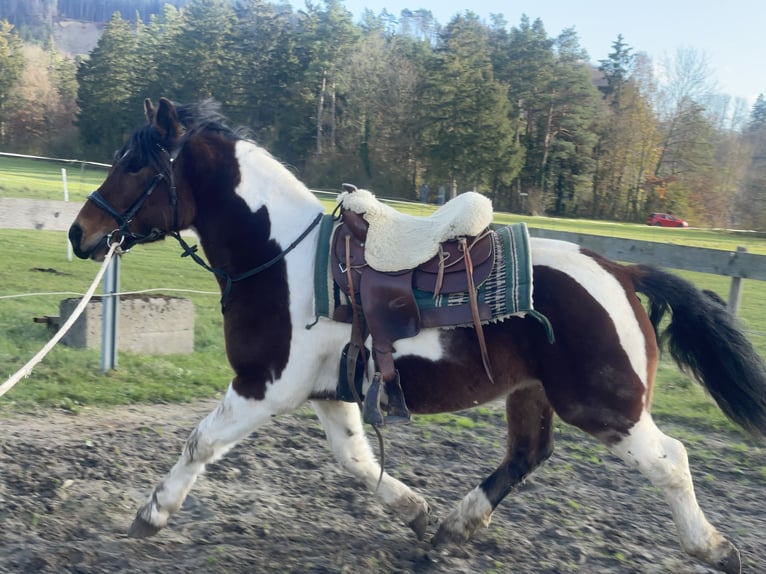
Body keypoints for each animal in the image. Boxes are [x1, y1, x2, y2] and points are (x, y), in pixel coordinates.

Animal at [67, 97, 766, 572]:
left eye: (135, 165)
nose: (80, 232)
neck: (282, 255)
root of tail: (619, 269)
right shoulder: (328, 394)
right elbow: (357, 461)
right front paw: (417, 512)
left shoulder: (263, 386)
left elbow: (200, 443)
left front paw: (151, 514)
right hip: (533, 394)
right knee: (526, 455)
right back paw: (453, 528)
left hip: (604, 406)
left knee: (671, 462)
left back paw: (715, 548)